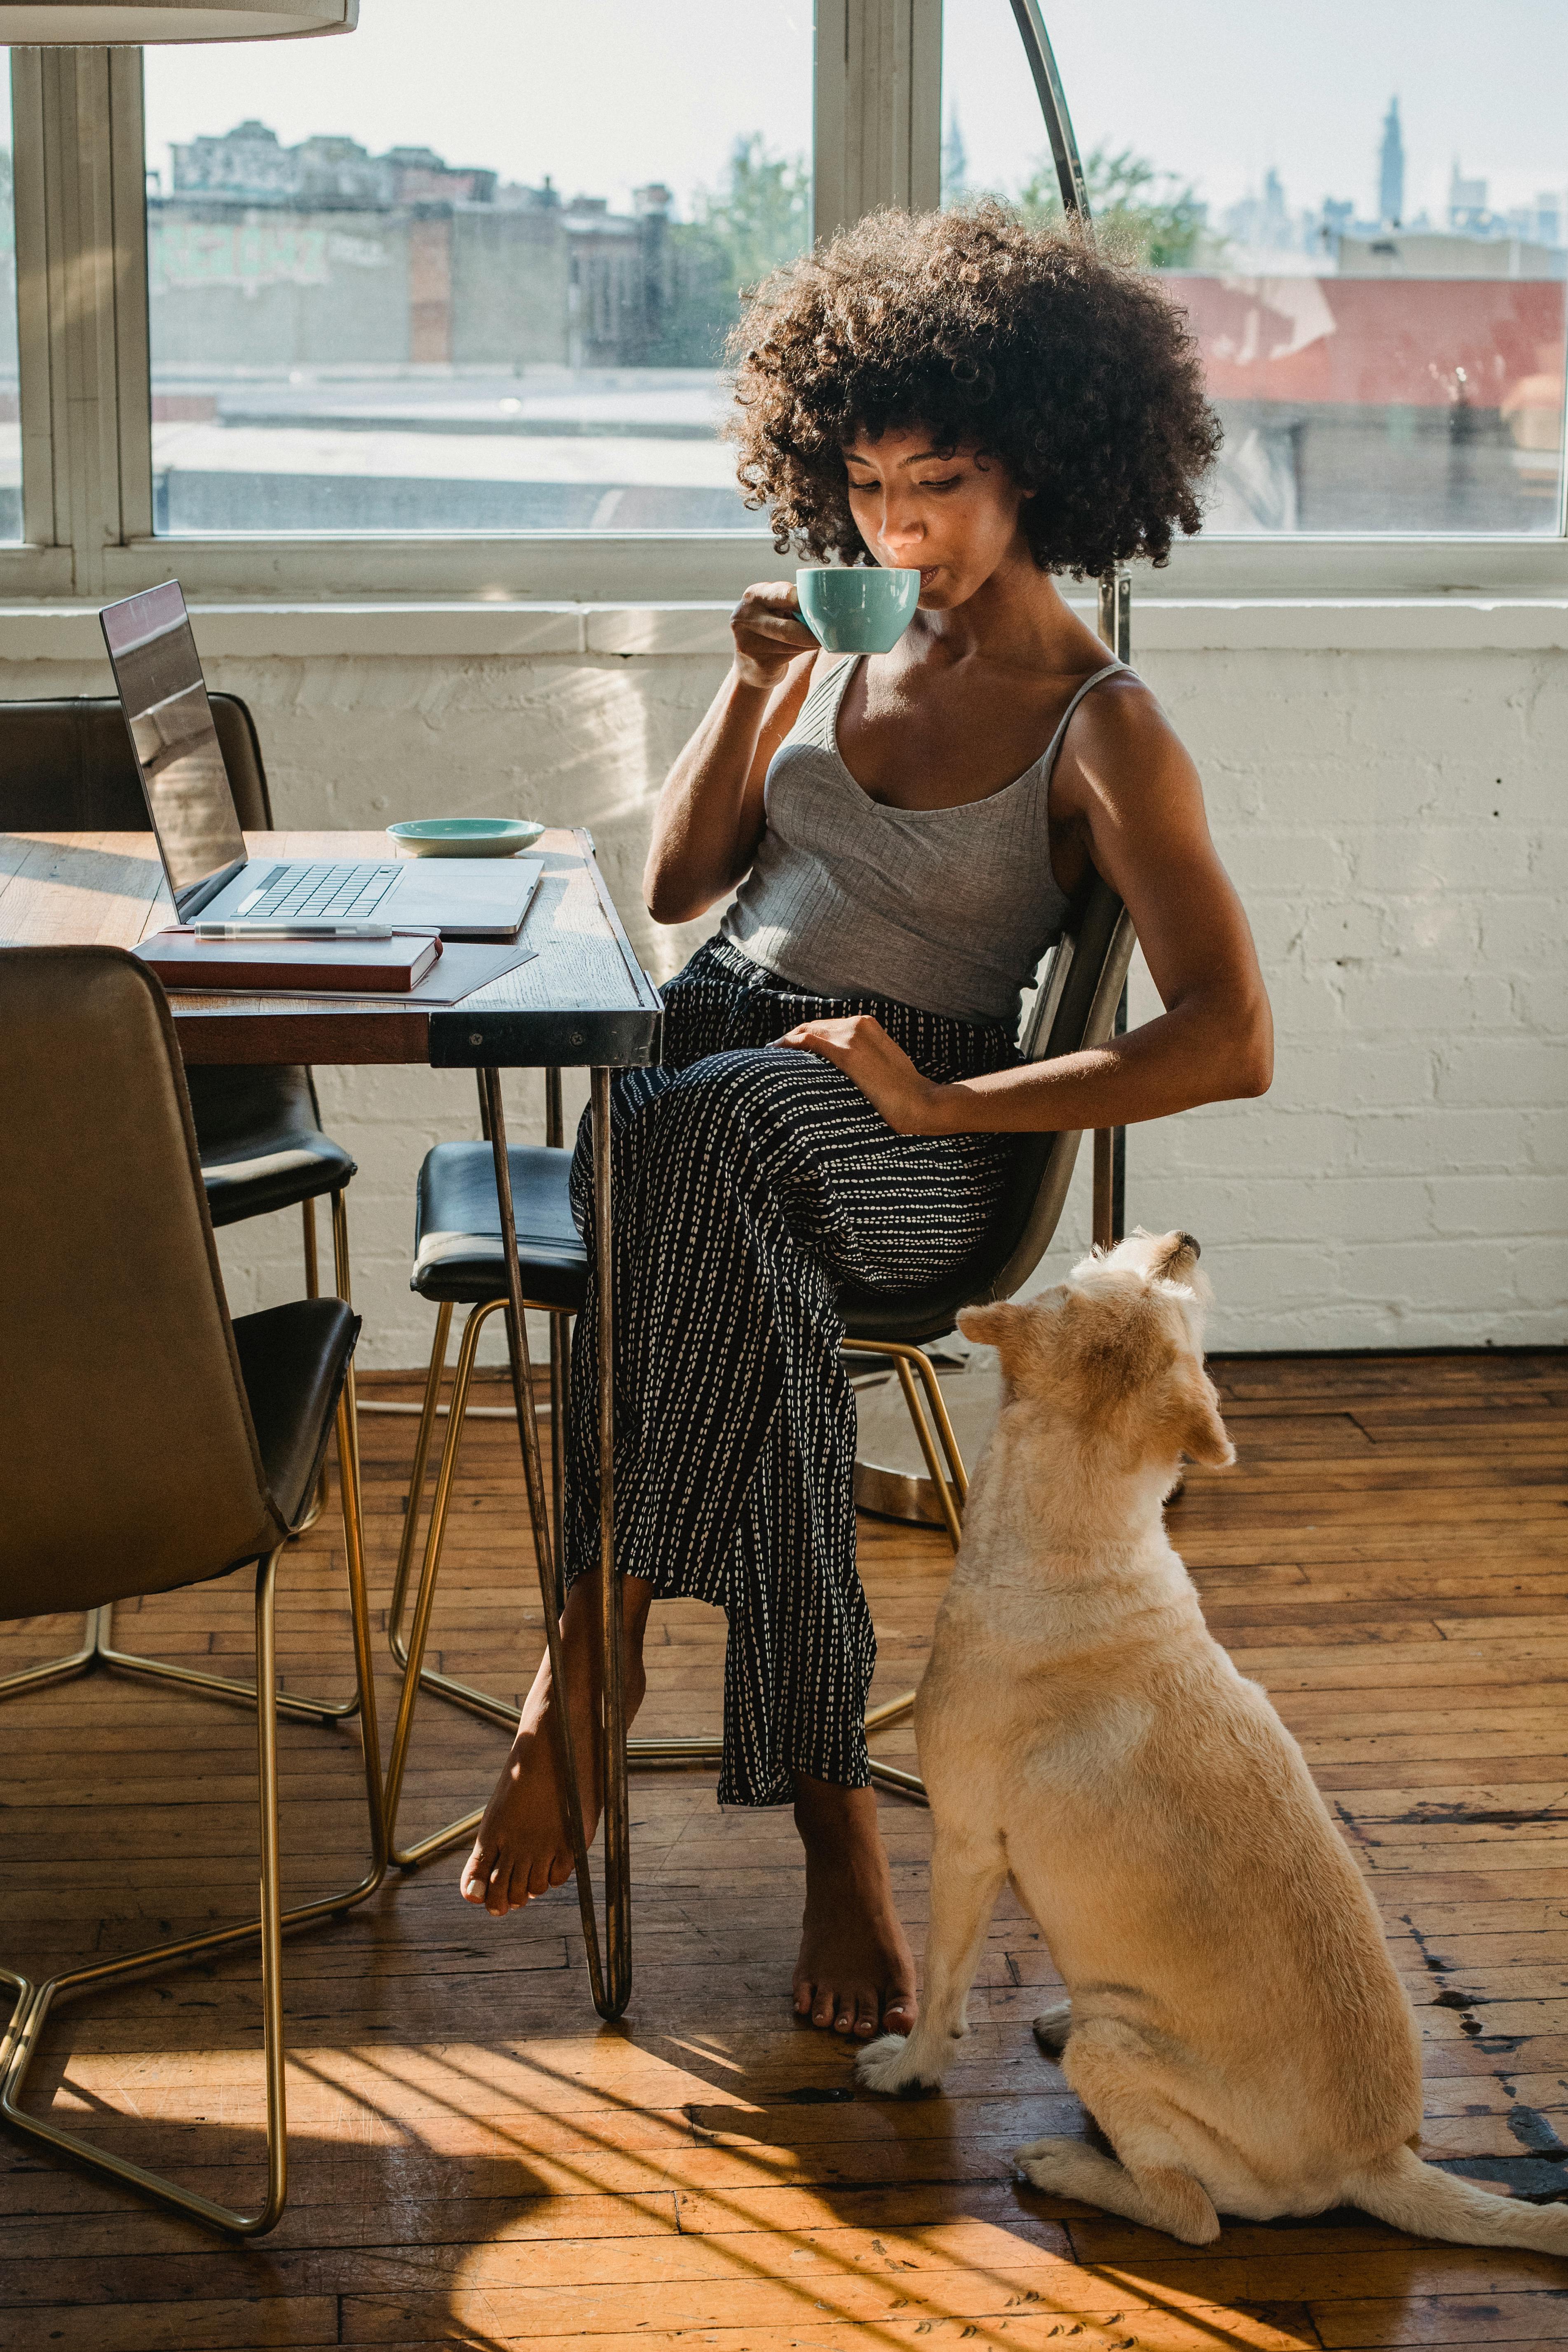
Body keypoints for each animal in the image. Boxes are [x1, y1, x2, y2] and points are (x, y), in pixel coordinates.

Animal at [860, 1223, 1568, 2248]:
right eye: (1146, 1276)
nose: (1186, 1238)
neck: (1081, 1547)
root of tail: (1376, 2161)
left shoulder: (962, 1846)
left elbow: (943, 1988)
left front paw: (908, 2068)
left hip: (1120, 2058)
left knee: (1191, 2213)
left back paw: (1070, 2165)